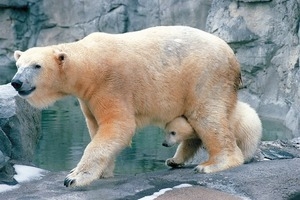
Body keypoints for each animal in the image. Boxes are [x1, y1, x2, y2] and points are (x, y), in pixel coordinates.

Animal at [10, 25, 243, 187]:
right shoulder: (88, 97)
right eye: (18, 65)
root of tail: (232, 55)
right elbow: (96, 127)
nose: (16, 82)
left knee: (208, 116)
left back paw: (213, 164)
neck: (89, 65)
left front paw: (74, 177)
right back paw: (176, 160)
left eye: (37, 66)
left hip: (205, 76)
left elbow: (118, 126)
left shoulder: (111, 85)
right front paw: (103, 172)